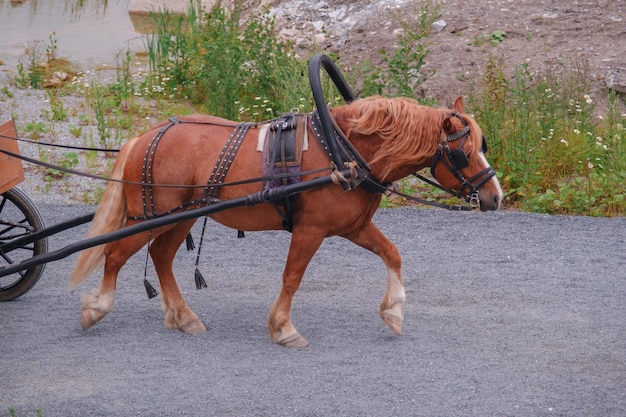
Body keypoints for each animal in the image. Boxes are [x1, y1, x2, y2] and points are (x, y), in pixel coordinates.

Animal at [69, 96, 502, 346]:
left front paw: (393, 311)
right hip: (154, 216)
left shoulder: (353, 227)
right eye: (463, 154)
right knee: (116, 253)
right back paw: (98, 307)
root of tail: (144, 137)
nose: (495, 197)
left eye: (481, 146)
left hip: (179, 219)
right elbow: (292, 277)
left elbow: (392, 255)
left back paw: (184, 316)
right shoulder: (311, 230)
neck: (343, 151)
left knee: (160, 256)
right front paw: (283, 328)